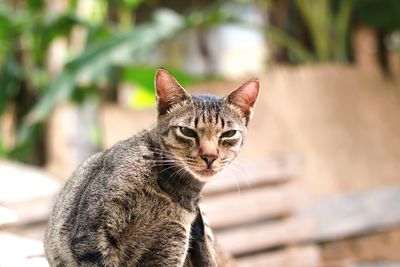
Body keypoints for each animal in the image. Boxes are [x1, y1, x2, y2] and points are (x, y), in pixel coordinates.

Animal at [44, 69, 260, 267]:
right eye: (187, 131)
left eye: (229, 133)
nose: (210, 156)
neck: (169, 188)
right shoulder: (92, 237)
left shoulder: (170, 244)